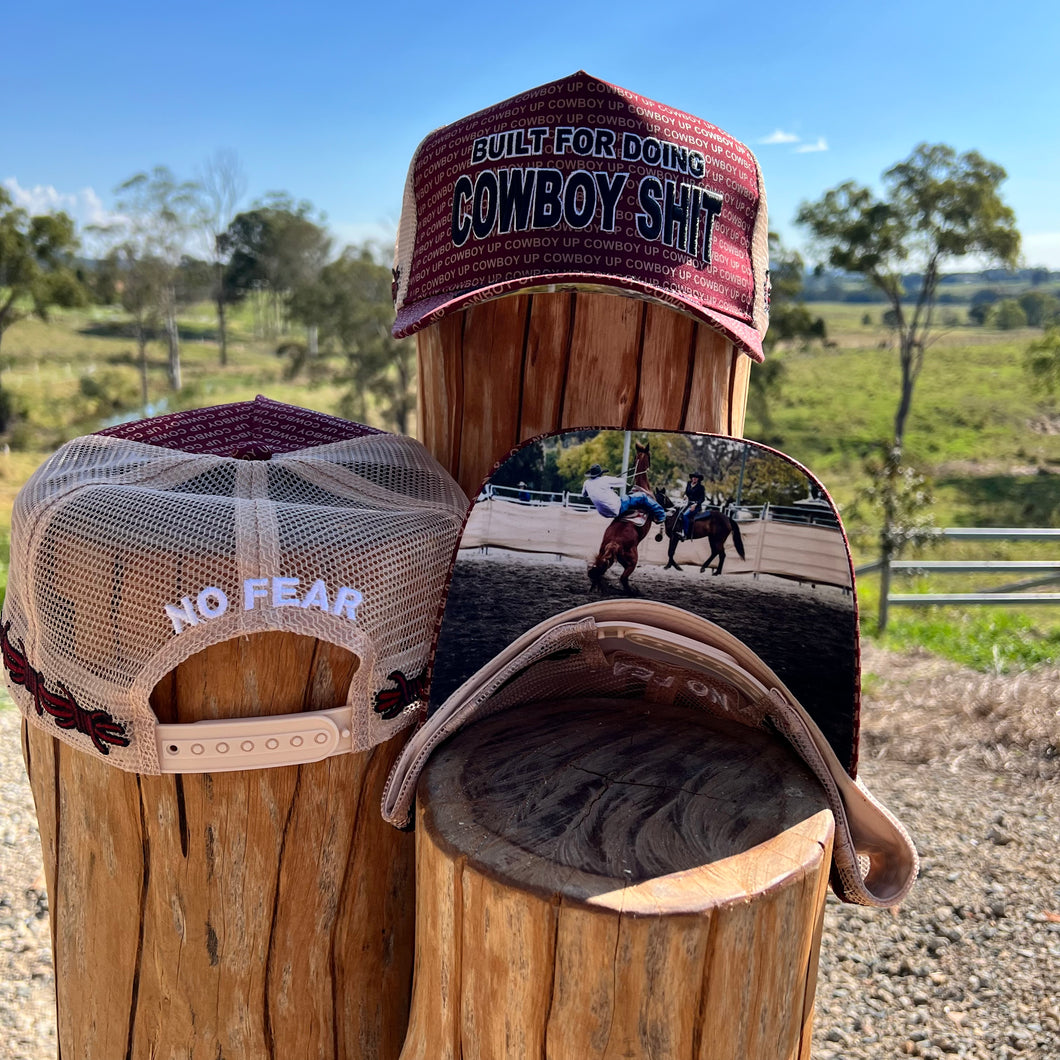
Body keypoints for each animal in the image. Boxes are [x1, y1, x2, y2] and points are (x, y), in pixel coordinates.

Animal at [589, 443, 652, 597]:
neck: (642, 487)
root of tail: (614, 543)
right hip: (632, 561)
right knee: (623, 578)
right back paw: (633, 593)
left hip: (607, 557)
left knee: (598, 571)